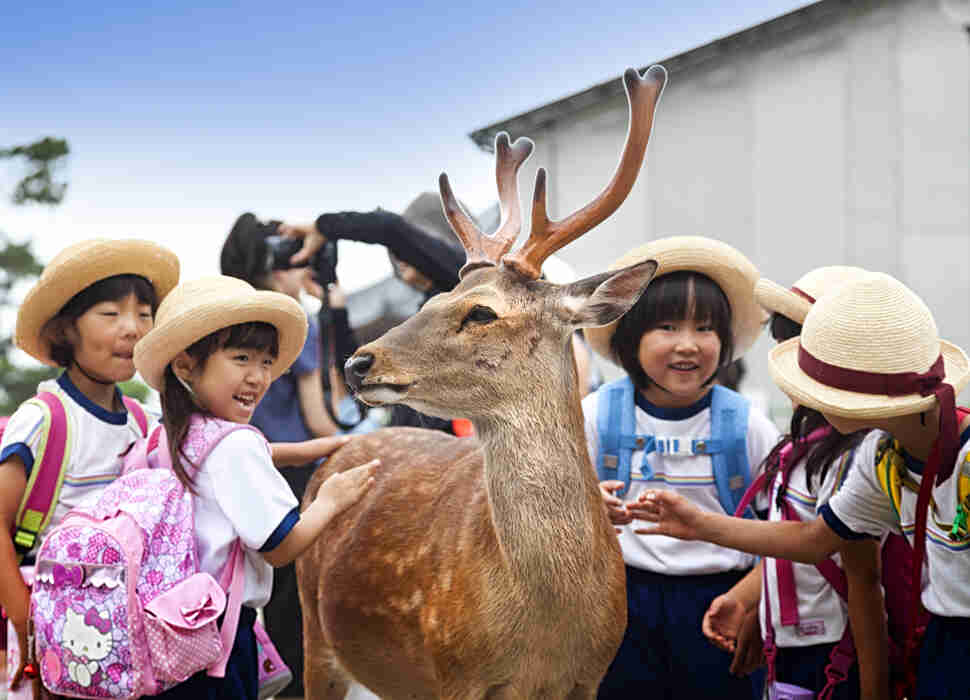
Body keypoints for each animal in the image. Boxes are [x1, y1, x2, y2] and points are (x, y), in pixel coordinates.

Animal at [296, 65, 664, 700]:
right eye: (434, 299)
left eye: (482, 312)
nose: (356, 363)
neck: (547, 635)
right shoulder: (452, 670)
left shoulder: (592, 677)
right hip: (314, 632)